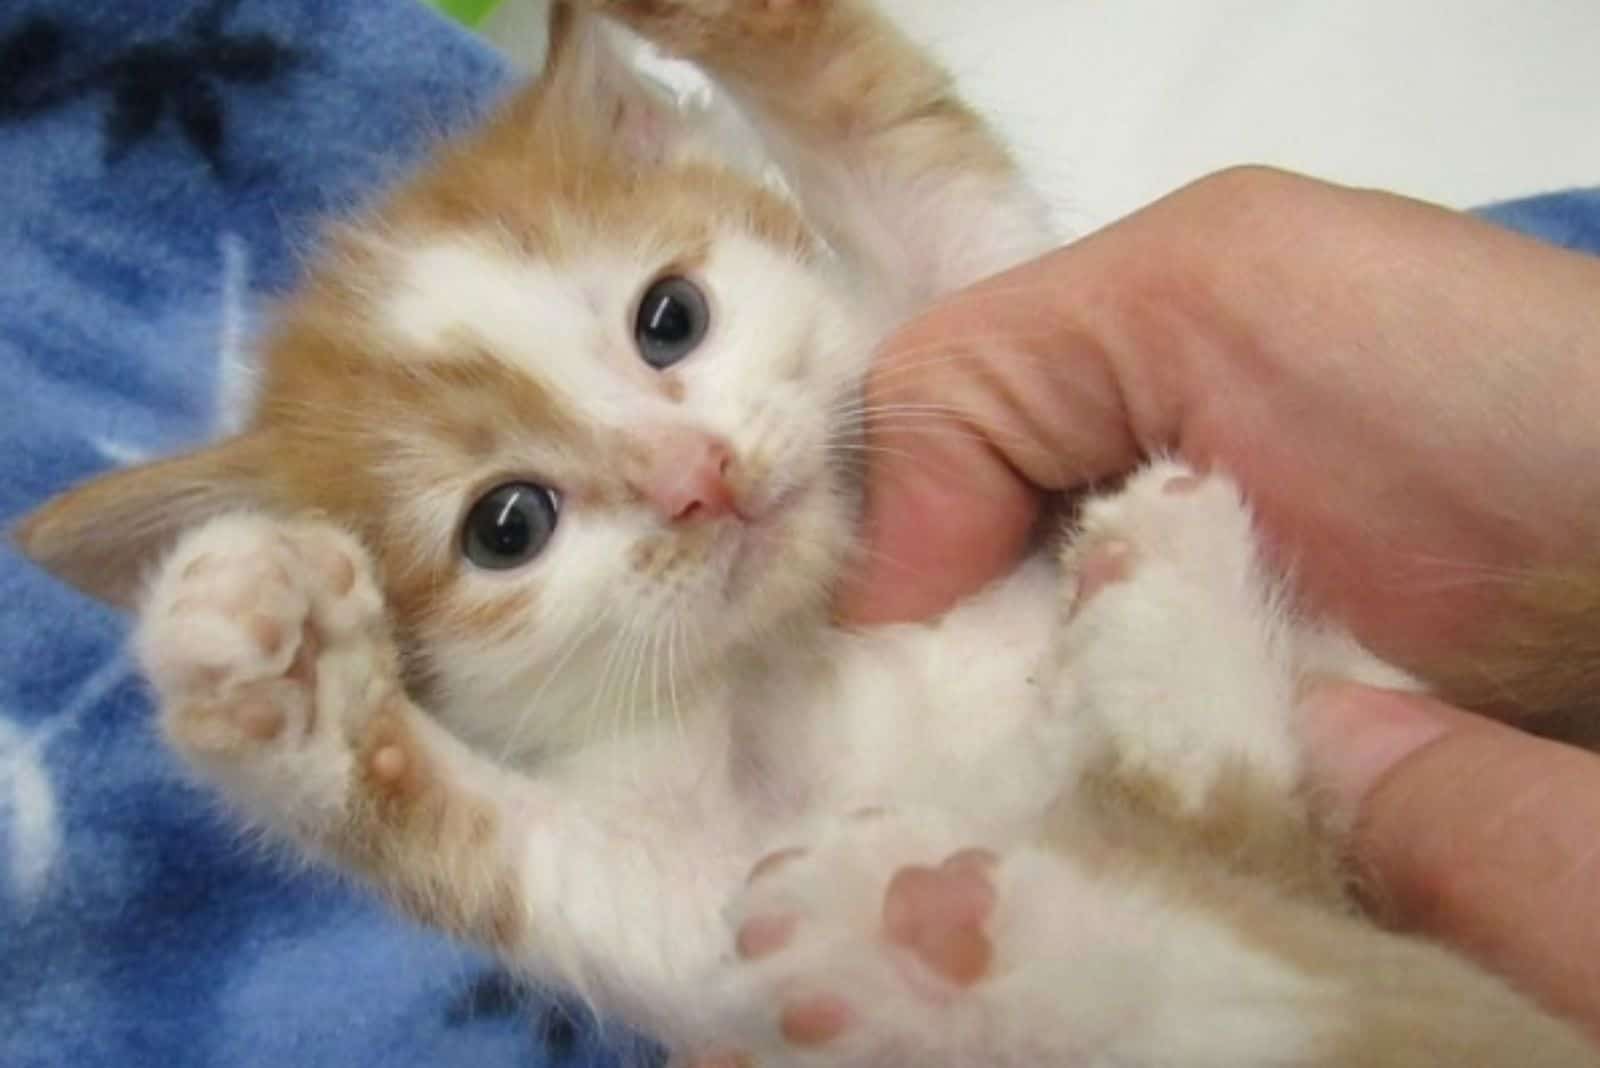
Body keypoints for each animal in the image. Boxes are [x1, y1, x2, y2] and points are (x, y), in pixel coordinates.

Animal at [15, 4, 1600, 1061]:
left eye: (669, 317)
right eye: (507, 524)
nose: (696, 477)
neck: (798, 641)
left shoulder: (970, 291)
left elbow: (898, 135)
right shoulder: (701, 904)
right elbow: (545, 871)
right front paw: (283, 679)